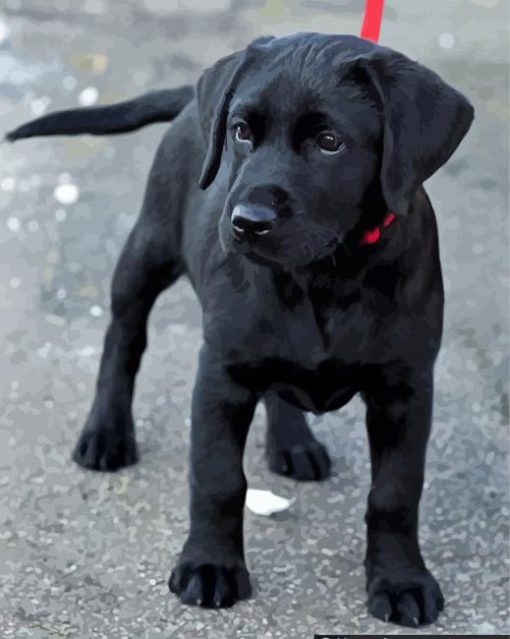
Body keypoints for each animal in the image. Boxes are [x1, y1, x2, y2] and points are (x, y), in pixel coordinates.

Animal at [6, 32, 474, 628]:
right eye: (241, 132)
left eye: (330, 142)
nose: (247, 222)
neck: (326, 275)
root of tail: (192, 100)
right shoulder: (221, 376)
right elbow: (219, 479)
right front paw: (210, 566)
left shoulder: (406, 389)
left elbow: (395, 493)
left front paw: (400, 580)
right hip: (147, 251)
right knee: (123, 340)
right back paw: (107, 432)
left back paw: (294, 442)